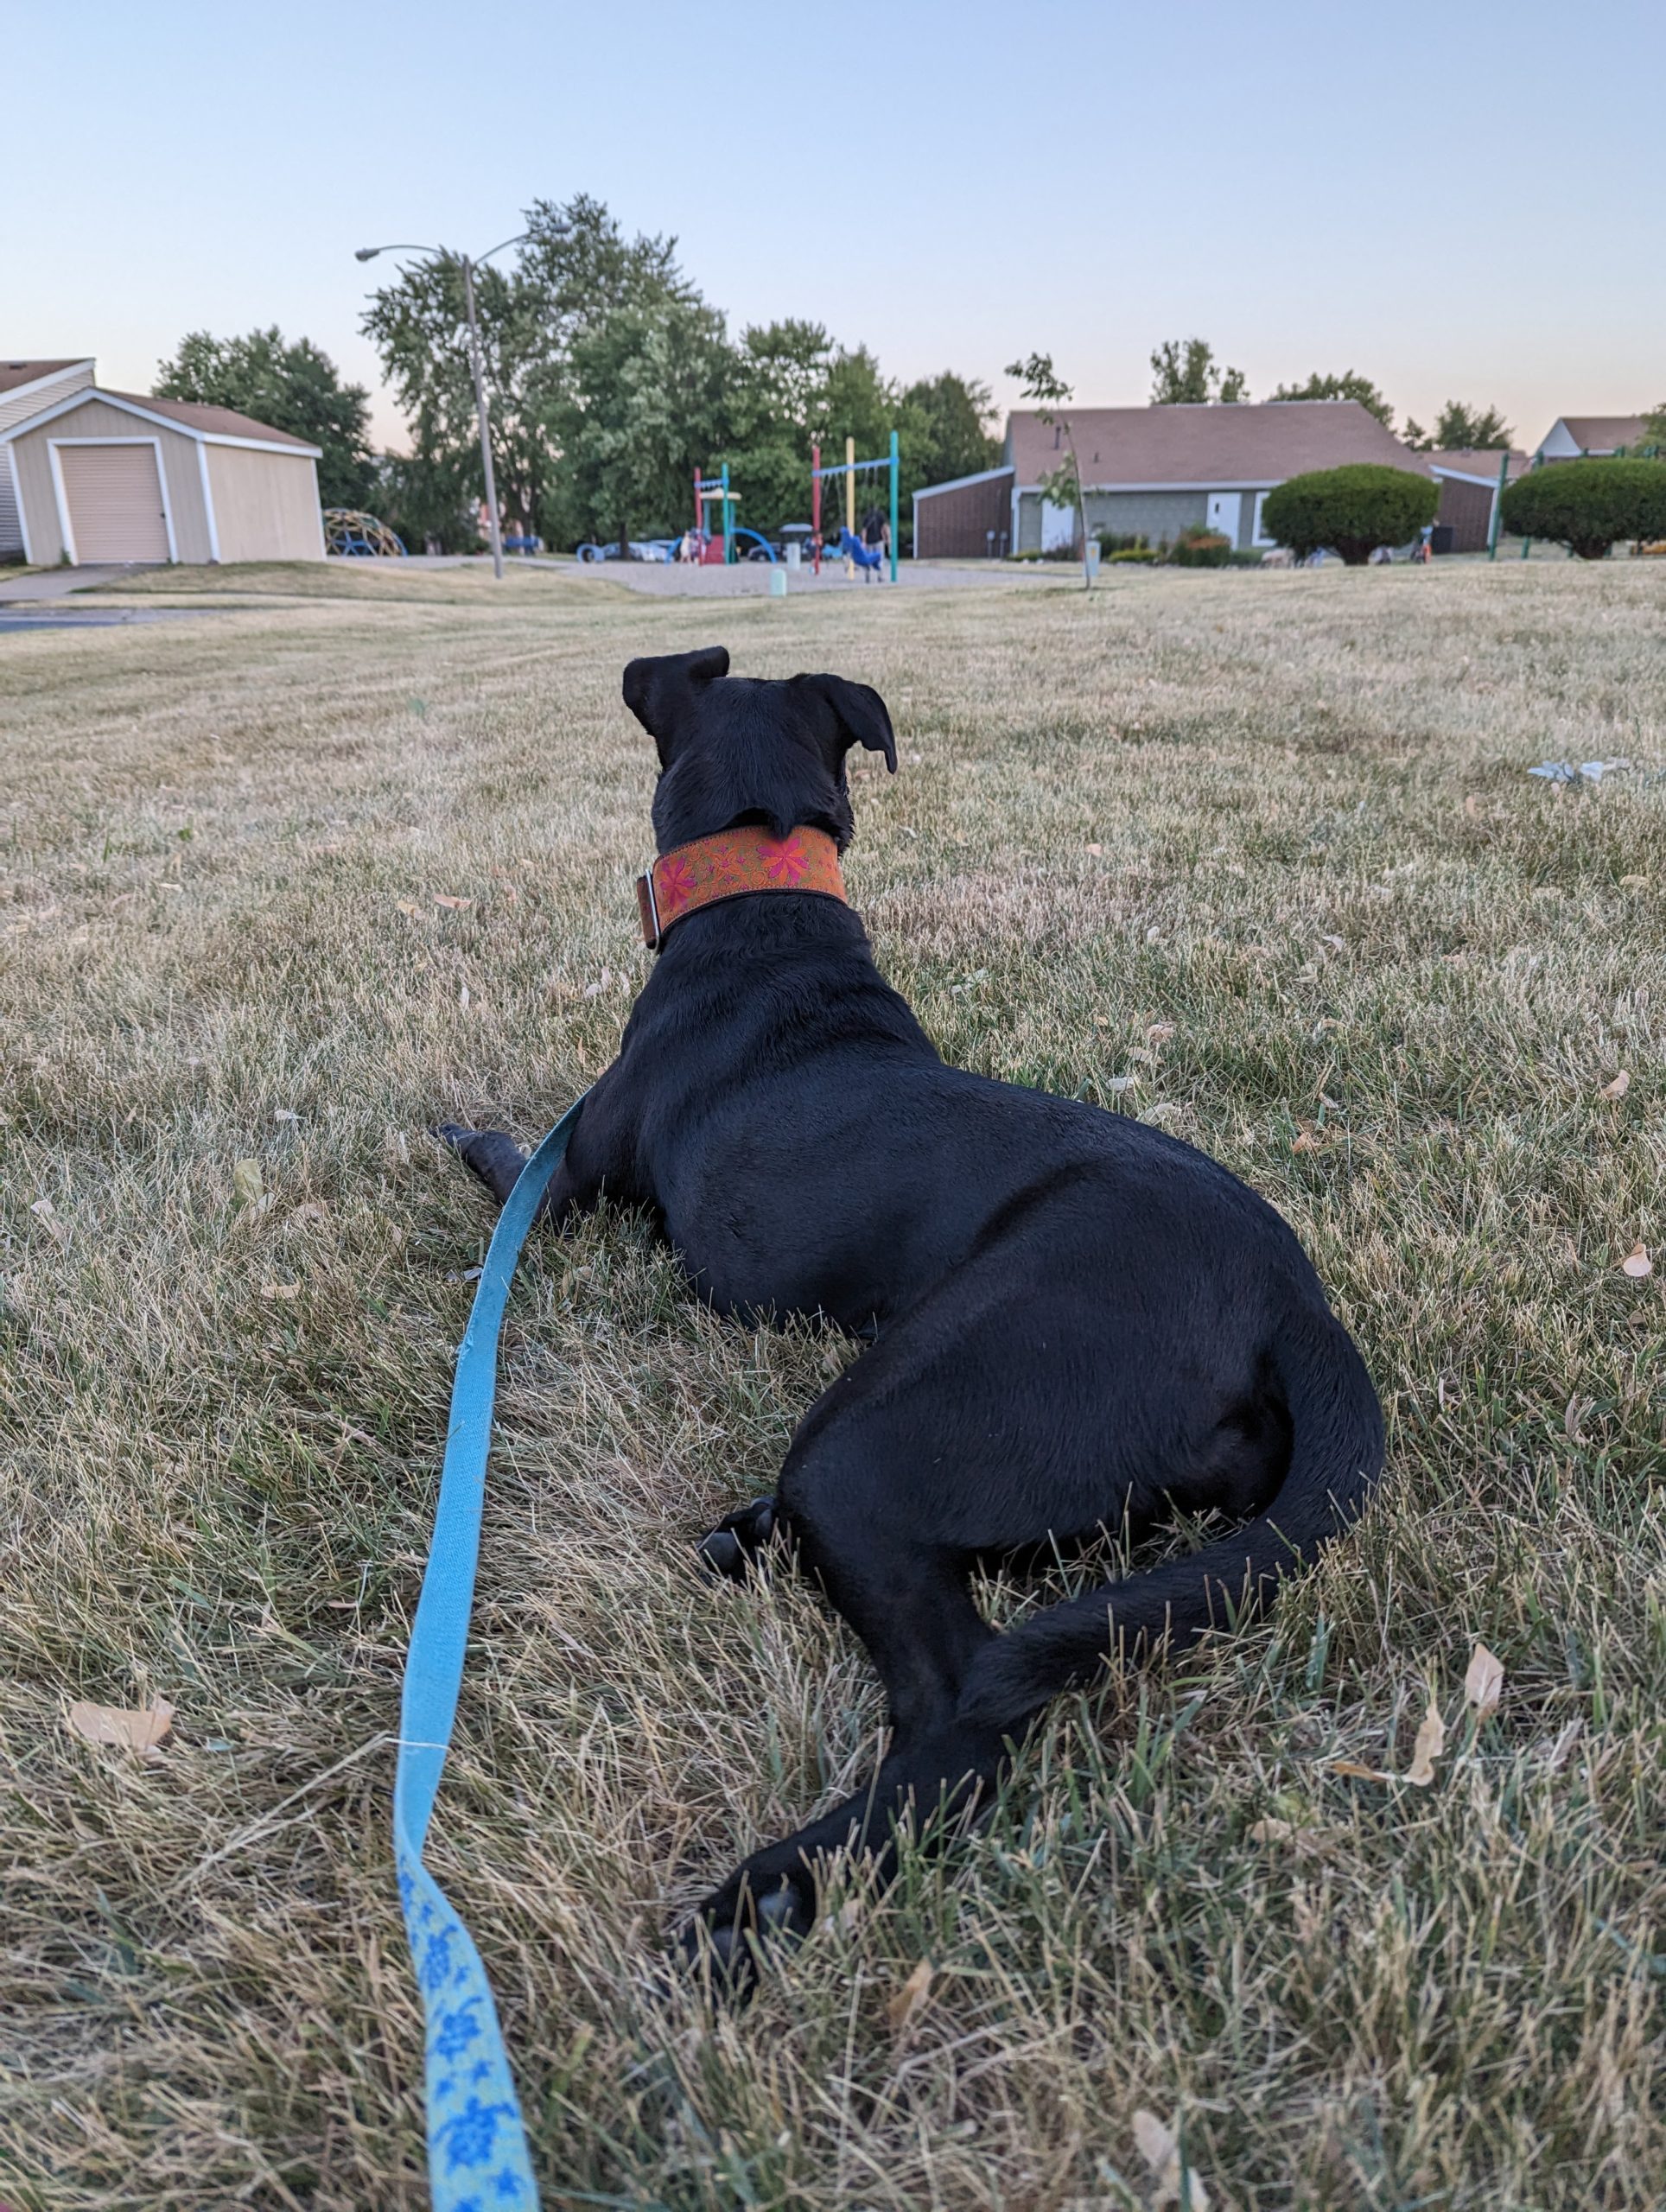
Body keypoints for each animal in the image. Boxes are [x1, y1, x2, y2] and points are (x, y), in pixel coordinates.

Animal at [436, 645, 1380, 1981]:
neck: (763, 911)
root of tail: (1291, 1296)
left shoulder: (575, 1186)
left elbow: (512, 1160)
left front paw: (463, 1133)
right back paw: (749, 1541)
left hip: (877, 1433)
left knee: (965, 1716)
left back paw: (767, 1894)